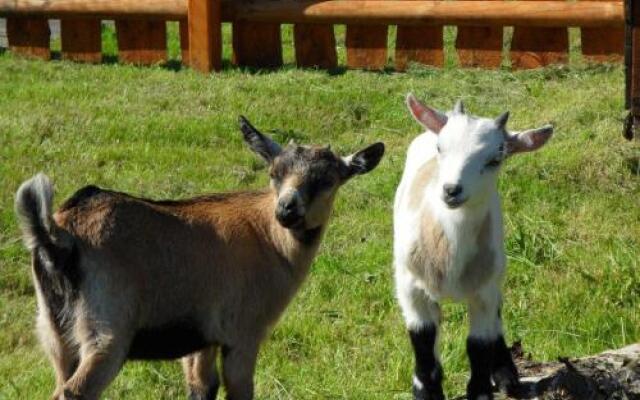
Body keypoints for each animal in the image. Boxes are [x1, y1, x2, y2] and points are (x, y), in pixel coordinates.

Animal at [392, 94, 552, 400]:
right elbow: (423, 343)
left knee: (496, 317)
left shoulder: (484, 290)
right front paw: (425, 390)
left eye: (496, 159)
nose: (451, 190)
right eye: (440, 148)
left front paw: (483, 389)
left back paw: (506, 374)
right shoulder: (410, 287)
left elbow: (479, 346)